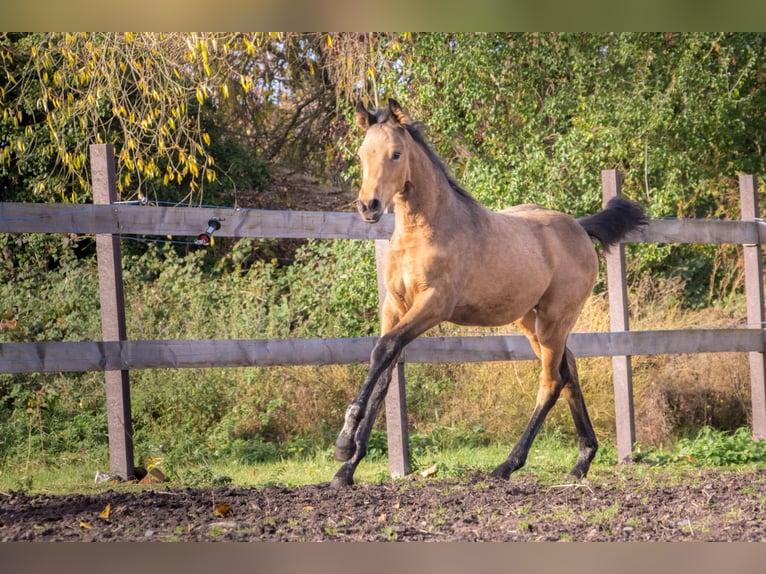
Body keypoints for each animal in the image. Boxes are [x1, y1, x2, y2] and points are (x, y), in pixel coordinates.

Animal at [331, 98, 648, 488]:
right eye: (362, 154)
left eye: (396, 153)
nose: (369, 206)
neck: (424, 230)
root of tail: (579, 226)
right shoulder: (395, 306)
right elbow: (384, 372)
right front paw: (346, 467)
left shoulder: (433, 304)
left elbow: (384, 349)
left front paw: (344, 444)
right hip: (530, 320)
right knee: (568, 369)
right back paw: (581, 462)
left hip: (555, 319)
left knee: (551, 380)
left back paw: (507, 465)